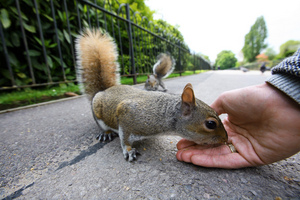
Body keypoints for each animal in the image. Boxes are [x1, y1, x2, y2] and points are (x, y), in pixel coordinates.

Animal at [75, 28, 227, 162]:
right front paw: (128, 150)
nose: (226, 139)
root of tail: (106, 90)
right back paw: (105, 133)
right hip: (97, 109)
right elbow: (124, 137)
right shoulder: (126, 113)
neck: (163, 114)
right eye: (211, 124)